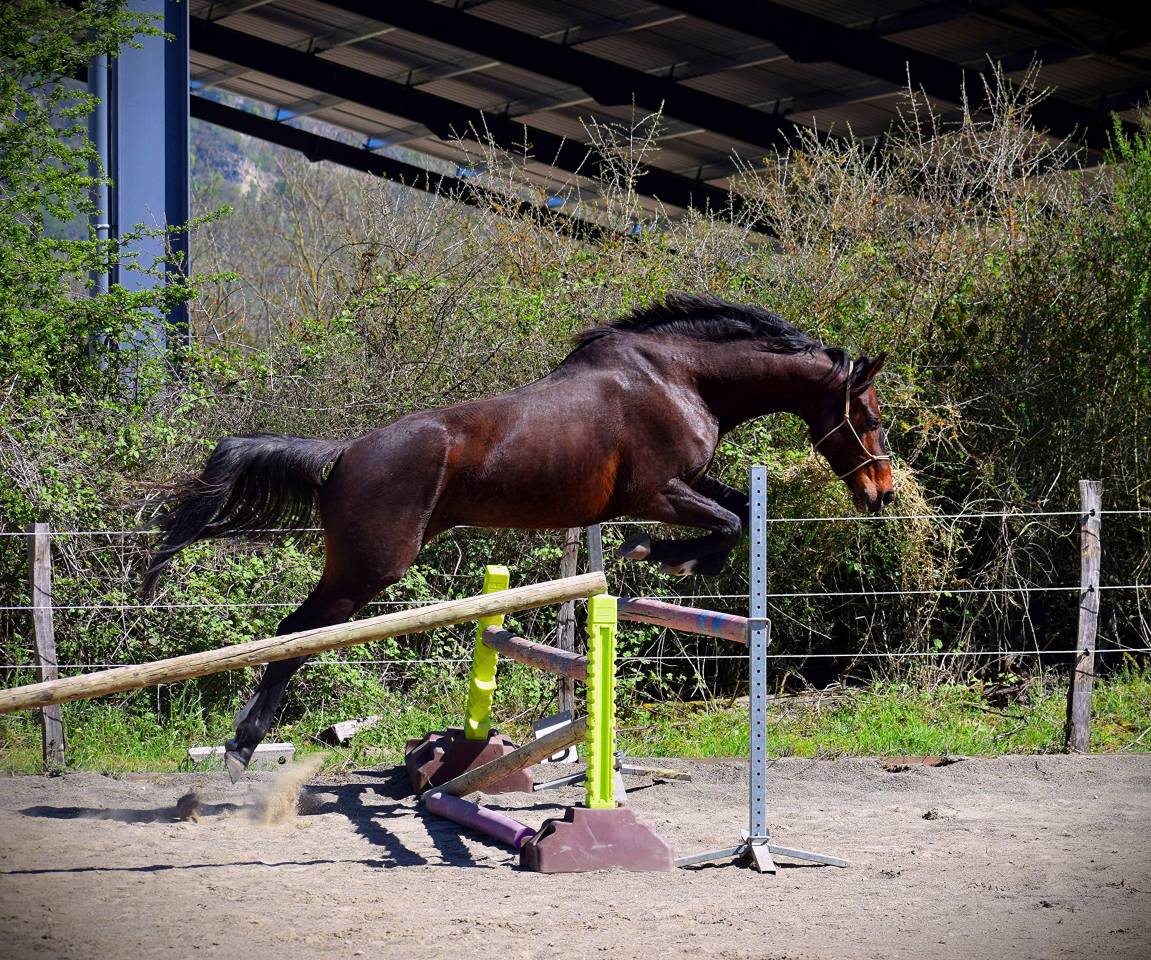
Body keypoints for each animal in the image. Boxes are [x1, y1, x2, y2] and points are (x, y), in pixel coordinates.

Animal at [142, 294, 893, 780]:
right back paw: (240, 750)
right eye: (867, 413)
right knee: (296, 636)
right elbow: (730, 522)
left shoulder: (686, 485)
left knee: (295, 636)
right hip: (367, 569)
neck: (682, 377)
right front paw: (660, 556)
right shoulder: (657, 492)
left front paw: (675, 560)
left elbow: (735, 509)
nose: (880, 494)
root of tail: (346, 454)